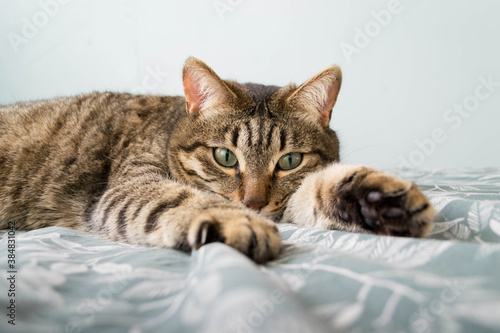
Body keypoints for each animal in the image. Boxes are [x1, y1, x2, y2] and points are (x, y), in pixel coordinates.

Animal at [0, 58, 434, 264]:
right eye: (225, 156)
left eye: (289, 160)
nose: (253, 203)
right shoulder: (129, 186)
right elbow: (180, 197)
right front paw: (235, 220)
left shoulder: (287, 201)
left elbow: (314, 189)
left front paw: (374, 197)